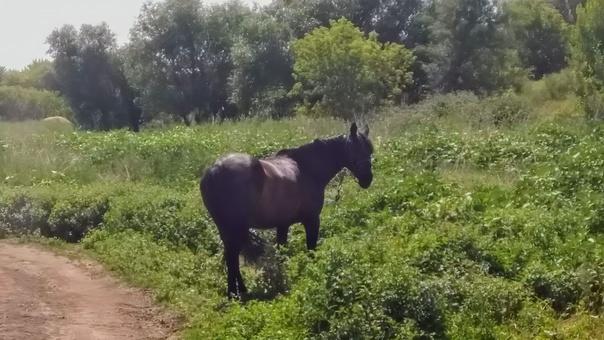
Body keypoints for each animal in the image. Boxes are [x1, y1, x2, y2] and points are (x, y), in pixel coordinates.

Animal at [201, 123, 372, 298]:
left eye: (370, 151)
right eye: (356, 149)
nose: (367, 179)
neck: (308, 169)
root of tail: (214, 170)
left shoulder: (282, 224)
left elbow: (280, 252)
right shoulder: (312, 220)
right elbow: (311, 248)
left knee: (232, 256)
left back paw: (239, 290)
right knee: (232, 256)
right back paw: (233, 293)